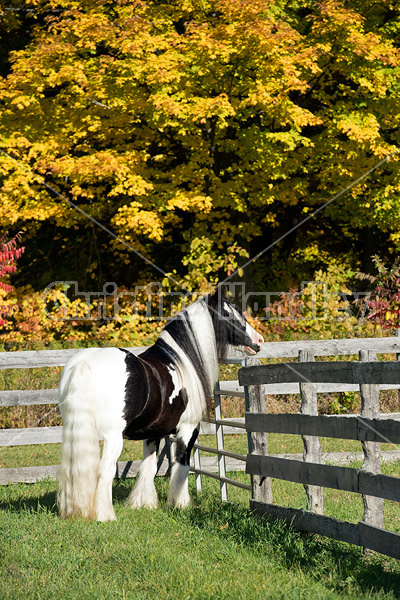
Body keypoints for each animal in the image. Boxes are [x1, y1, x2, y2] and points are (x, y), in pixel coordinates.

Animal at [56, 286, 262, 520]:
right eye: (228, 314)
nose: (259, 340)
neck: (181, 362)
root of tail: (84, 363)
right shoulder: (188, 429)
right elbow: (182, 466)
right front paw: (180, 504)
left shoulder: (152, 433)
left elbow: (148, 467)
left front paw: (142, 504)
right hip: (113, 437)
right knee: (105, 470)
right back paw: (105, 516)